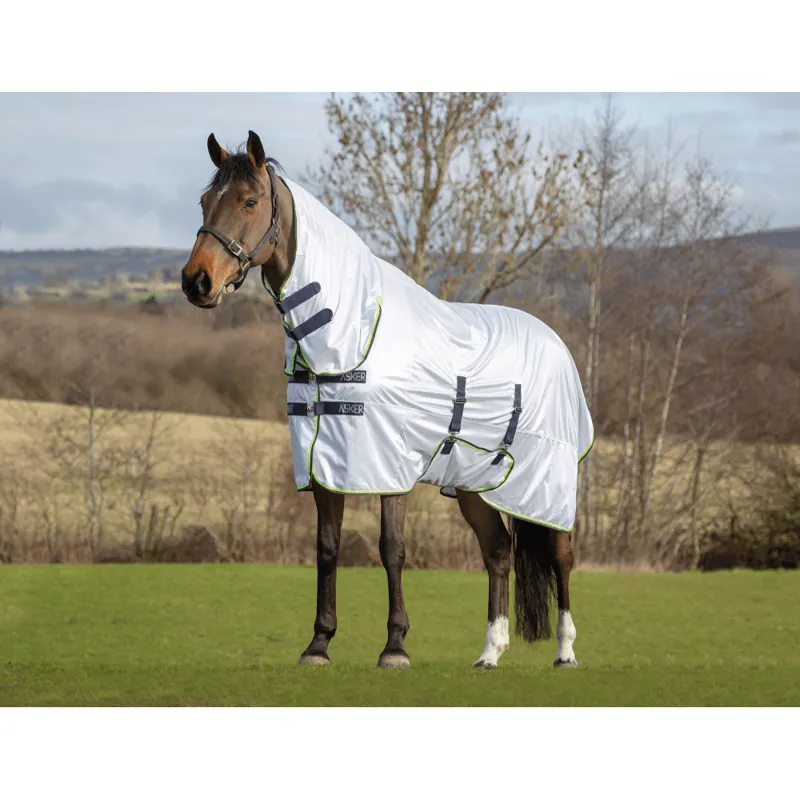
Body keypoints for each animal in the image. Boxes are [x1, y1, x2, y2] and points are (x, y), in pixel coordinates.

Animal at [180, 130, 592, 670]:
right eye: (205, 201)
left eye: (249, 201)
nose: (197, 281)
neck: (352, 329)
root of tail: (557, 343)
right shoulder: (323, 462)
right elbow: (327, 547)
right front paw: (318, 644)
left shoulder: (390, 463)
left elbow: (391, 547)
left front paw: (395, 647)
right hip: (474, 484)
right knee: (499, 552)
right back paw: (489, 652)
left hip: (550, 479)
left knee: (561, 555)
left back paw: (565, 651)